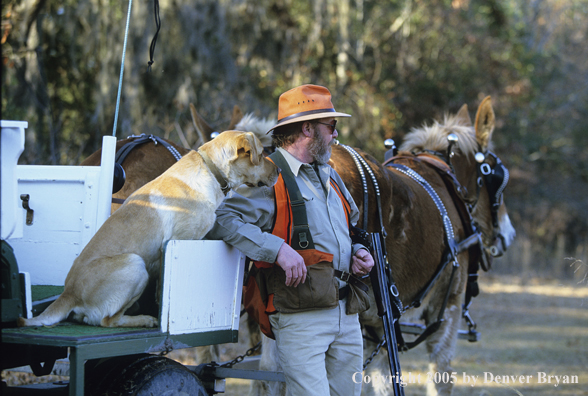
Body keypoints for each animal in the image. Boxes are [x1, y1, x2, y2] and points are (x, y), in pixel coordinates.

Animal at [16, 131, 278, 328]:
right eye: (262, 154)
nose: (278, 172)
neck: (212, 171)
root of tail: (68, 293)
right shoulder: (178, 243)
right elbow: (164, 292)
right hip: (135, 264)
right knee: (107, 320)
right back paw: (144, 319)